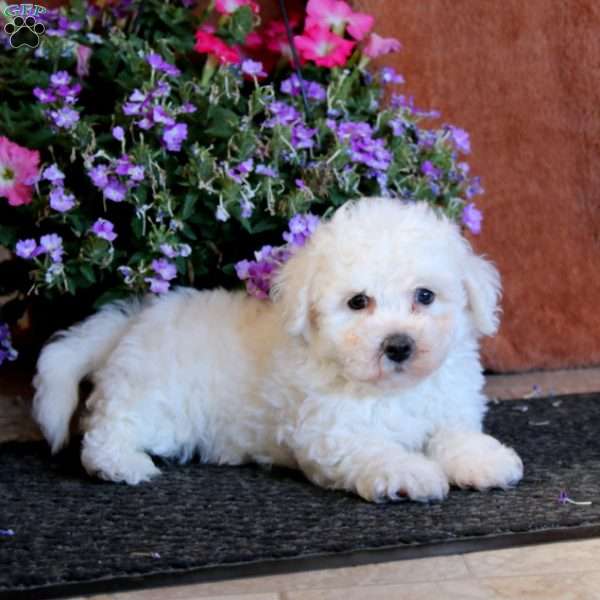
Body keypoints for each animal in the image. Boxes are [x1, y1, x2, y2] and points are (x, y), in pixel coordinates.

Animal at [32, 198, 524, 502]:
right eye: (357, 302)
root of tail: (132, 320)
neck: (390, 390)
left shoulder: (448, 409)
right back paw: (123, 464)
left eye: (425, 296)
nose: (399, 345)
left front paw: (485, 460)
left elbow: (455, 435)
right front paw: (411, 473)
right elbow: (377, 449)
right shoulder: (332, 432)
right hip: (156, 402)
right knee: (105, 430)